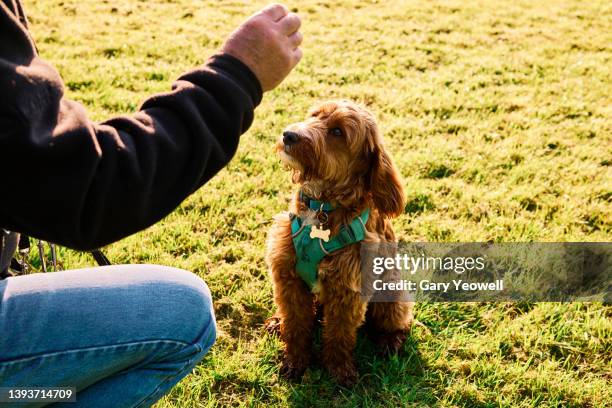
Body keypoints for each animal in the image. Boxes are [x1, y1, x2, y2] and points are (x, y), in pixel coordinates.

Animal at [266, 99, 414, 386]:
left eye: (337, 132)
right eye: (314, 115)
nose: (288, 134)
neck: (322, 206)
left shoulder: (347, 290)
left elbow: (340, 334)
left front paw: (339, 370)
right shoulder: (288, 277)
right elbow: (296, 324)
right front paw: (295, 361)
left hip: (391, 293)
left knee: (398, 321)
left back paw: (390, 341)